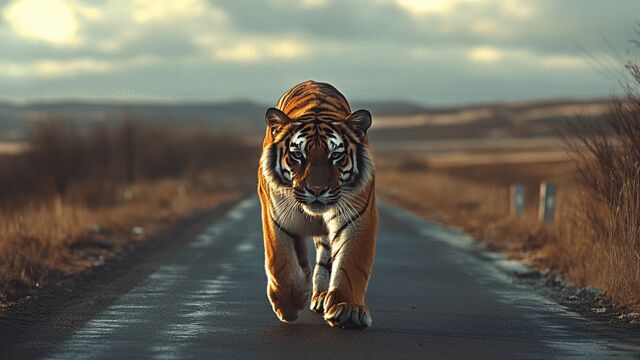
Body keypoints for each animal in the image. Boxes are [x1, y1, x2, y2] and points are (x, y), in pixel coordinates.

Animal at [256, 81, 378, 330]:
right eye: (297, 155)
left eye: (336, 155)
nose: (317, 190)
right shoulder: (275, 213)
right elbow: (280, 260)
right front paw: (288, 303)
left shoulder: (358, 214)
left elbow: (351, 262)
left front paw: (348, 309)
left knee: (325, 258)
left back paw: (322, 297)